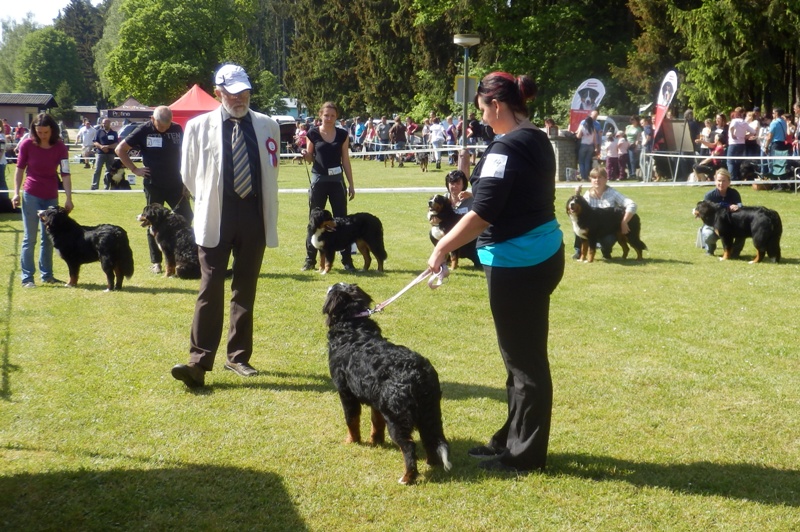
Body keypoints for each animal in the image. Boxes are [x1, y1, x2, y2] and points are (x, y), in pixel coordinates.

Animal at [324, 282, 450, 486]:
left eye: (334, 287)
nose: (329, 284)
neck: (352, 327)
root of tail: (418, 371)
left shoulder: (345, 393)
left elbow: (352, 420)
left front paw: (351, 441)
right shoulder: (376, 400)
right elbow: (376, 422)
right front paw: (376, 442)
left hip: (397, 417)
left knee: (409, 447)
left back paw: (407, 477)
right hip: (427, 411)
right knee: (430, 438)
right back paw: (432, 463)